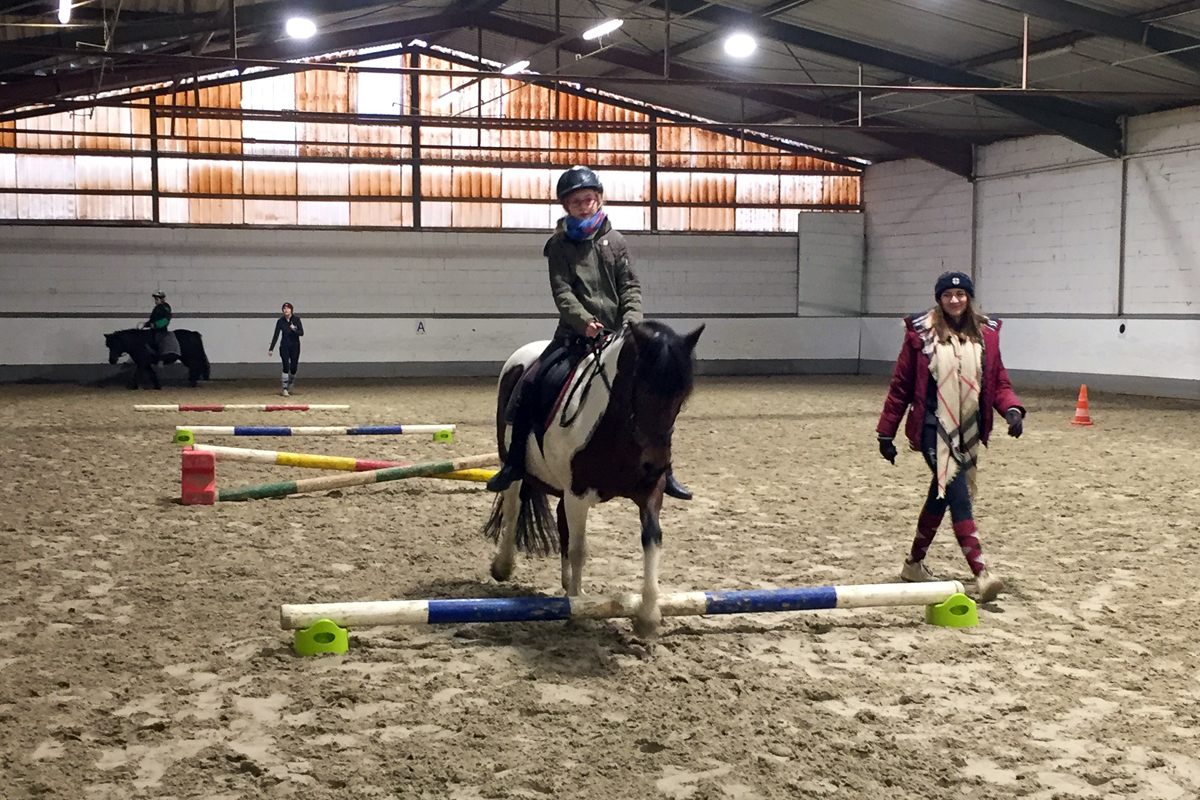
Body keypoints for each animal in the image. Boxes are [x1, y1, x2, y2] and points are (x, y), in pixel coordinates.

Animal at [480, 319, 700, 638]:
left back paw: (565, 584)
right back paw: (504, 566)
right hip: (512, 464)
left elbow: (652, 539)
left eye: (682, 395)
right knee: (513, 508)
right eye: (639, 386)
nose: (656, 464)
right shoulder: (578, 493)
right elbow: (579, 549)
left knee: (560, 523)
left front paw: (648, 615)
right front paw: (577, 610)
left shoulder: (650, 490)